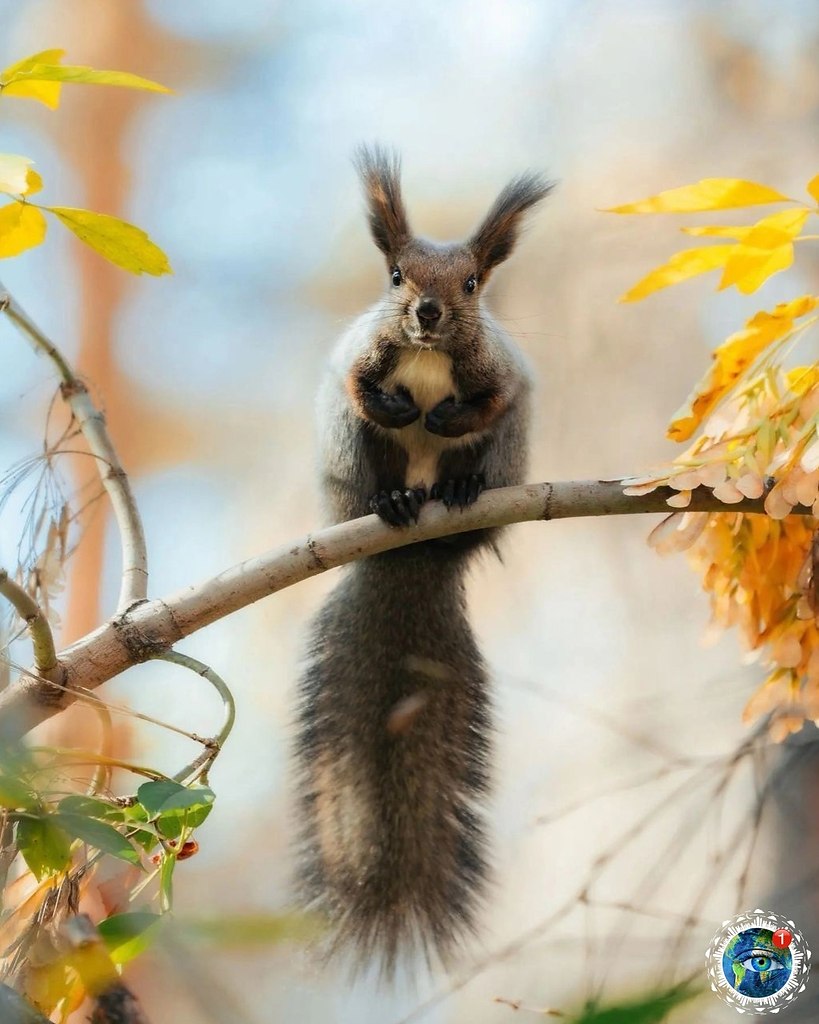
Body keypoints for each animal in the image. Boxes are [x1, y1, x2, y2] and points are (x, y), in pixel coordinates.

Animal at [294, 146, 548, 974]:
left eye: (471, 284)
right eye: (396, 276)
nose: (428, 314)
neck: (431, 356)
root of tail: (408, 560)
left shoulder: (499, 375)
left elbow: (488, 401)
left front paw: (441, 416)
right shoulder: (360, 359)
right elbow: (359, 388)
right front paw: (404, 407)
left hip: (501, 459)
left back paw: (458, 492)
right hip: (351, 458)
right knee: (371, 460)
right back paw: (394, 501)